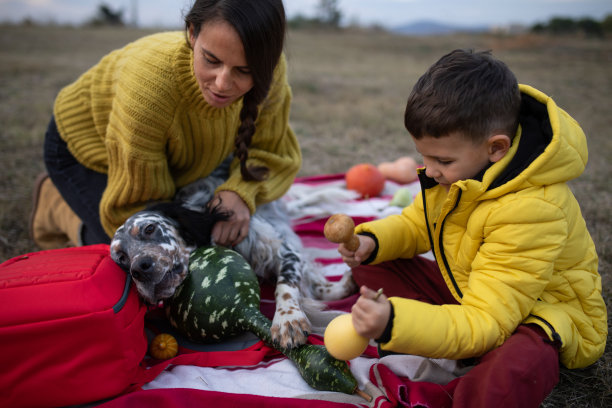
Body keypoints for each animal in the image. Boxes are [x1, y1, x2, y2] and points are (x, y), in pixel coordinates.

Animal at [112, 159, 356, 348]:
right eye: (121, 258)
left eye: (149, 229)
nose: (139, 269)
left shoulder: (283, 251)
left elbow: (286, 285)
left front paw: (288, 320)